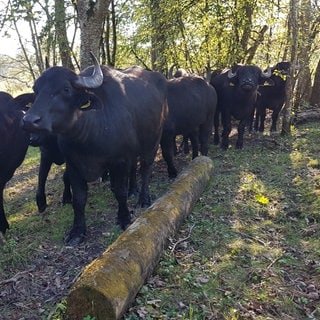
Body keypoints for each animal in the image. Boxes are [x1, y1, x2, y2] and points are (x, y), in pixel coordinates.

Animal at [22, 53, 168, 245]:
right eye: (36, 90)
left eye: (66, 89)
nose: (29, 121)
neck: (88, 138)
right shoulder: (73, 164)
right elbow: (78, 198)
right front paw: (77, 231)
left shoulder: (119, 160)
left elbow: (119, 191)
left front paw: (124, 218)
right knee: (134, 170)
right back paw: (133, 190)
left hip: (153, 141)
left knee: (145, 169)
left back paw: (143, 198)